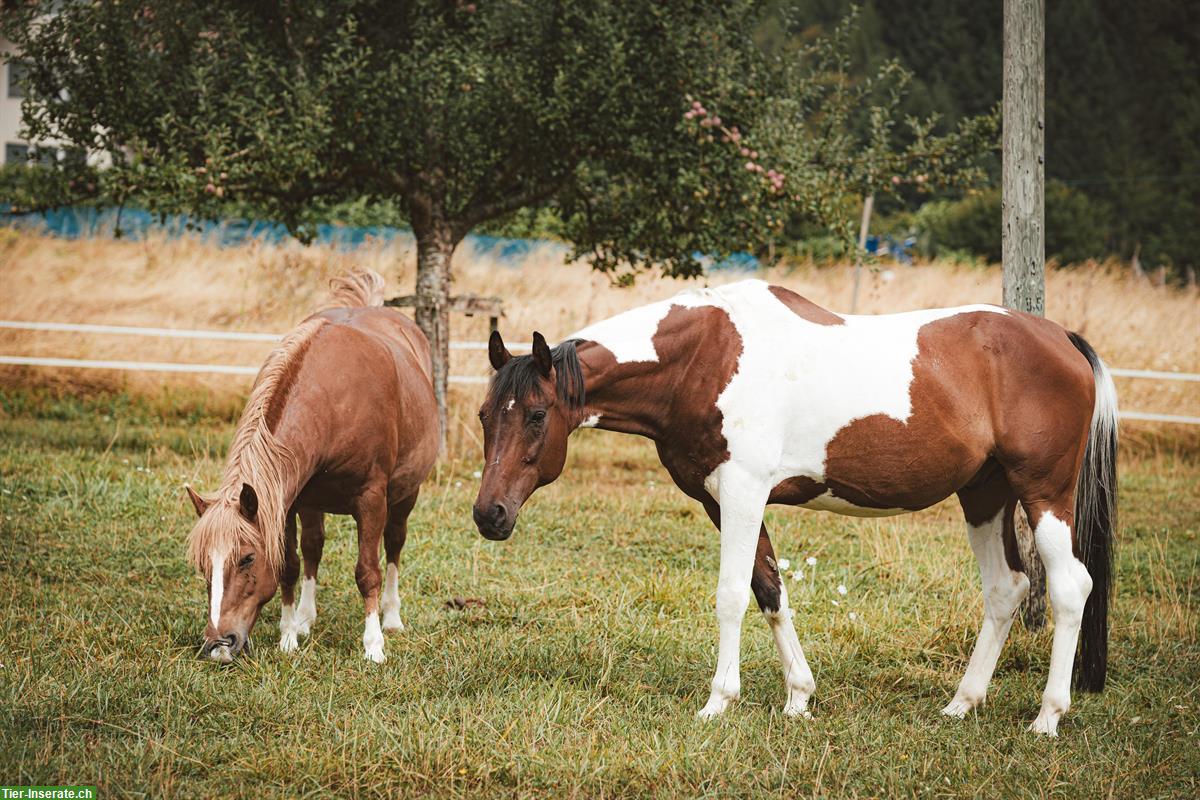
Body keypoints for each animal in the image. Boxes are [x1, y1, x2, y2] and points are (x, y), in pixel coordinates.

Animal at [189, 272, 444, 666]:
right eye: (204, 564)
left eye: (247, 558)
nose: (219, 645)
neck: (334, 399)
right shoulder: (287, 502)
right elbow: (290, 566)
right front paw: (288, 636)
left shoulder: (371, 499)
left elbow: (367, 571)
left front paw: (373, 645)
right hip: (312, 503)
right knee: (313, 547)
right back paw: (305, 618)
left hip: (405, 495)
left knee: (394, 544)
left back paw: (392, 617)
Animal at [475, 280, 1113, 738]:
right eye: (485, 415)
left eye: (536, 415)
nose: (490, 514)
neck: (703, 359)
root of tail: (1062, 338)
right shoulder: (722, 499)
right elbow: (769, 590)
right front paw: (799, 697)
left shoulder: (743, 491)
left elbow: (732, 594)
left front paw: (719, 701)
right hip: (984, 494)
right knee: (1006, 588)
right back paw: (962, 703)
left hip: (1043, 493)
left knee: (1069, 587)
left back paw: (1048, 716)